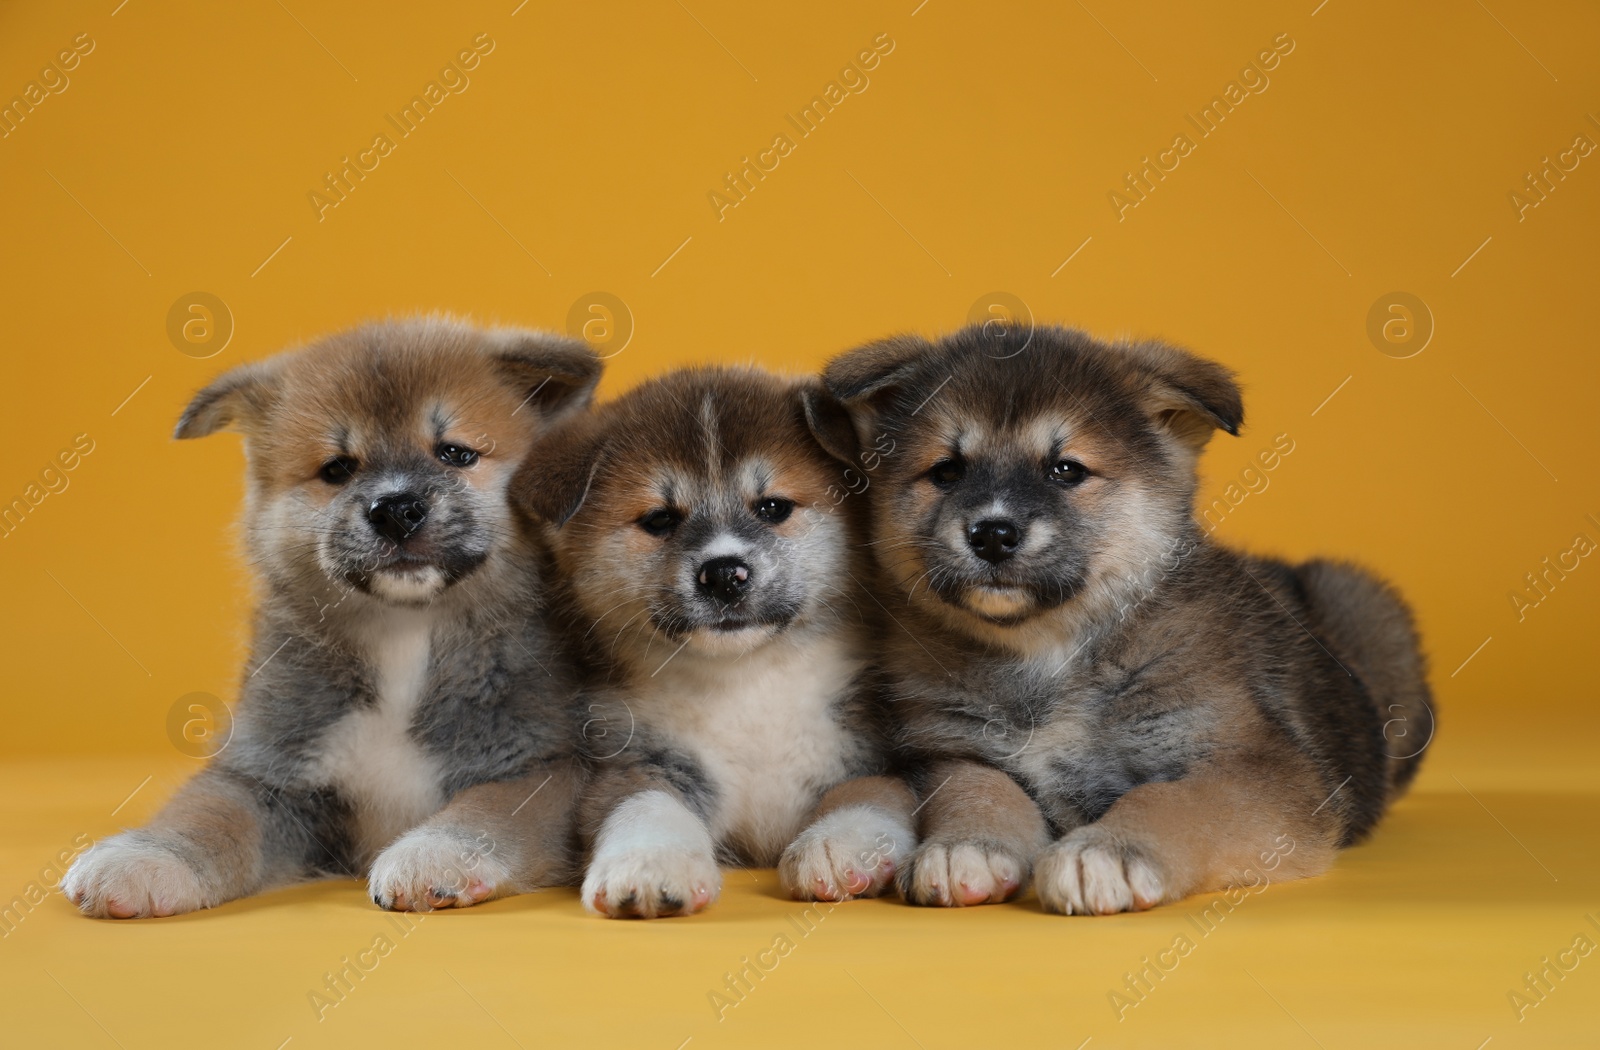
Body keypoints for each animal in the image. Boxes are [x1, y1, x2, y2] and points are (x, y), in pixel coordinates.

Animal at [60, 318, 601, 921]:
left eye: (456, 454)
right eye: (338, 469)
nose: (396, 510)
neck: (405, 635)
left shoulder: (548, 768)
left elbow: (490, 810)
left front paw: (433, 854)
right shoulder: (270, 774)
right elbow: (207, 812)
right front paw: (147, 856)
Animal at [518, 369, 921, 921]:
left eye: (772, 507)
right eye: (660, 520)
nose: (724, 573)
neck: (746, 685)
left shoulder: (880, 752)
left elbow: (865, 791)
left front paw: (834, 844)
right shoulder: (635, 760)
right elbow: (644, 805)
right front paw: (649, 865)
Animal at [812, 323, 1440, 915]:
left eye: (1066, 470)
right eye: (946, 472)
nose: (992, 532)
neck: (1048, 656)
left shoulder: (1258, 766)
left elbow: (1175, 801)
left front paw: (1108, 849)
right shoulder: (951, 748)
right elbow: (976, 787)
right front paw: (966, 846)